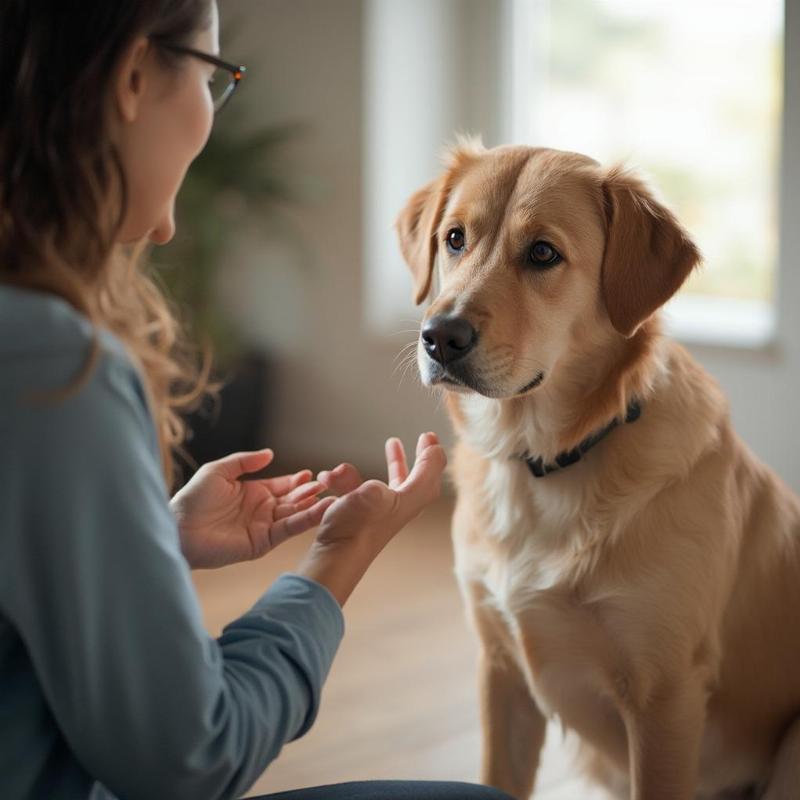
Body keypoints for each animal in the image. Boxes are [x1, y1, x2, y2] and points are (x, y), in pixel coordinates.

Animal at [396, 144, 800, 800]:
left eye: (543, 253)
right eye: (455, 238)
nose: (439, 337)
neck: (545, 463)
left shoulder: (665, 698)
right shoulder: (501, 673)